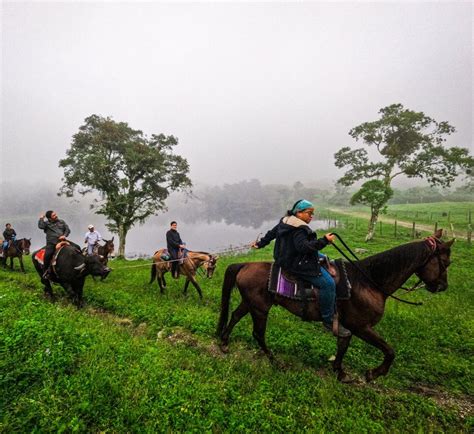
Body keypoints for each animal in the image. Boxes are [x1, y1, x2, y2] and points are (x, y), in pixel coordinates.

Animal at [217, 229, 454, 382]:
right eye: (446, 262)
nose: (442, 286)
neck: (369, 282)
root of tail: (245, 264)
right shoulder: (362, 327)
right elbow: (389, 351)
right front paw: (373, 373)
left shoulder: (347, 326)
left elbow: (343, 344)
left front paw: (339, 371)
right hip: (260, 308)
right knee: (258, 333)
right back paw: (275, 361)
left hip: (250, 303)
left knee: (235, 316)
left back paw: (224, 342)